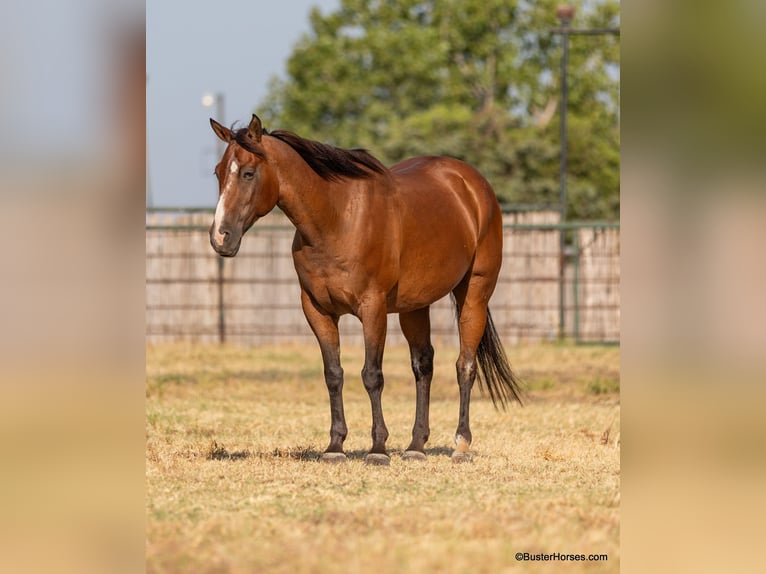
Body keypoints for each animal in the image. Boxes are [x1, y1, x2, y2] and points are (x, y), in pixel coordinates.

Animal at [208, 114, 523, 465]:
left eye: (248, 172)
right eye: (219, 172)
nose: (220, 237)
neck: (336, 218)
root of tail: (472, 184)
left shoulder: (372, 309)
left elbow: (372, 374)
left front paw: (378, 448)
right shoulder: (317, 311)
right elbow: (333, 373)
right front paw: (335, 446)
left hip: (474, 294)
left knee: (465, 366)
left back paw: (462, 445)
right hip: (415, 306)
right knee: (423, 365)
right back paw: (416, 445)